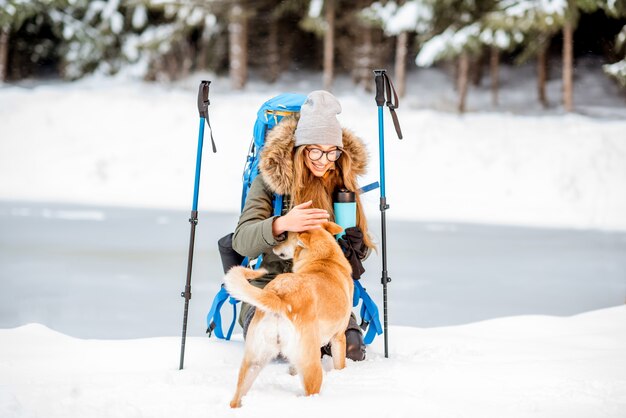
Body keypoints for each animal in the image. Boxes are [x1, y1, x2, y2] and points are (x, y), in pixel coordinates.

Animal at [223, 222, 352, 408]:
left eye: (286, 235)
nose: (274, 245)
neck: (324, 260)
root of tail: (280, 296)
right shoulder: (339, 337)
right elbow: (340, 365)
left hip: (254, 360)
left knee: (236, 398)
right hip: (311, 363)